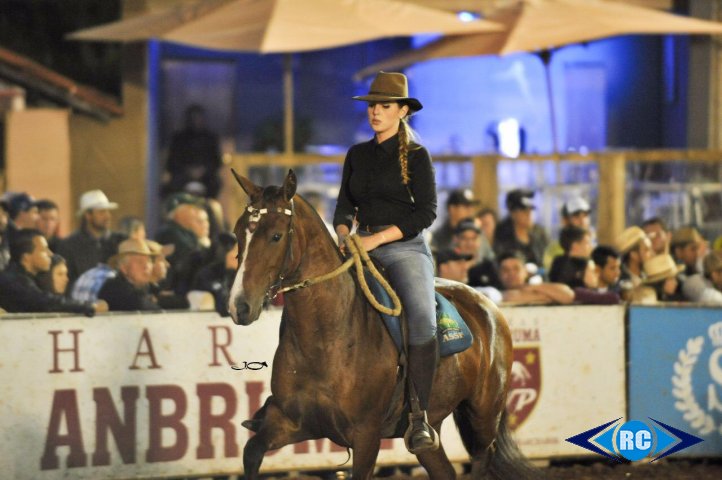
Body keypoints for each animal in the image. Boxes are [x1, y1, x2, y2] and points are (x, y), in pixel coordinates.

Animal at [228, 171, 536, 478]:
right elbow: (252, 451)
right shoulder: (292, 421)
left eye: (276, 236)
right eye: (237, 233)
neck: (327, 337)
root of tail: (488, 306)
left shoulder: (366, 435)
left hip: (483, 416)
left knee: (484, 458)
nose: (239, 306)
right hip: (432, 433)